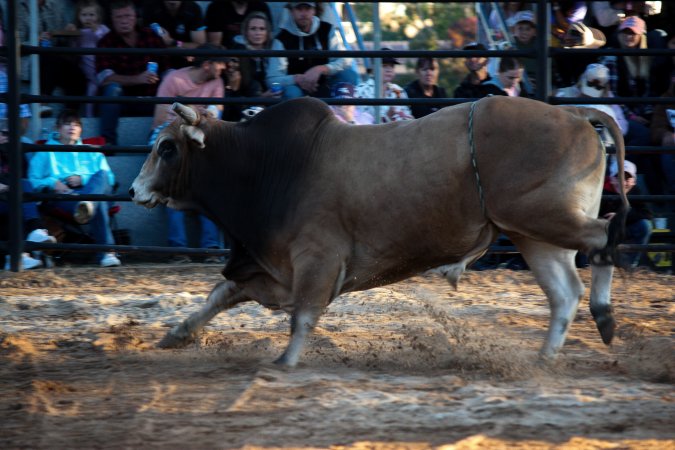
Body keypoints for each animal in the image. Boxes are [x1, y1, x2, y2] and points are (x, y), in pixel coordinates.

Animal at [129, 96, 629, 367]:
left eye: (167, 147)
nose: (134, 190)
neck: (269, 166)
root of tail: (573, 114)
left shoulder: (317, 259)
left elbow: (303, 315)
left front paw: (285, 360)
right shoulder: (266, 266)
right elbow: (219, 296)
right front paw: (176, 334)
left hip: (543, 216)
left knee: (605, 236)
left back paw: (604, 317)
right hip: (534, 234)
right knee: (564, 292)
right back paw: (545, 357)